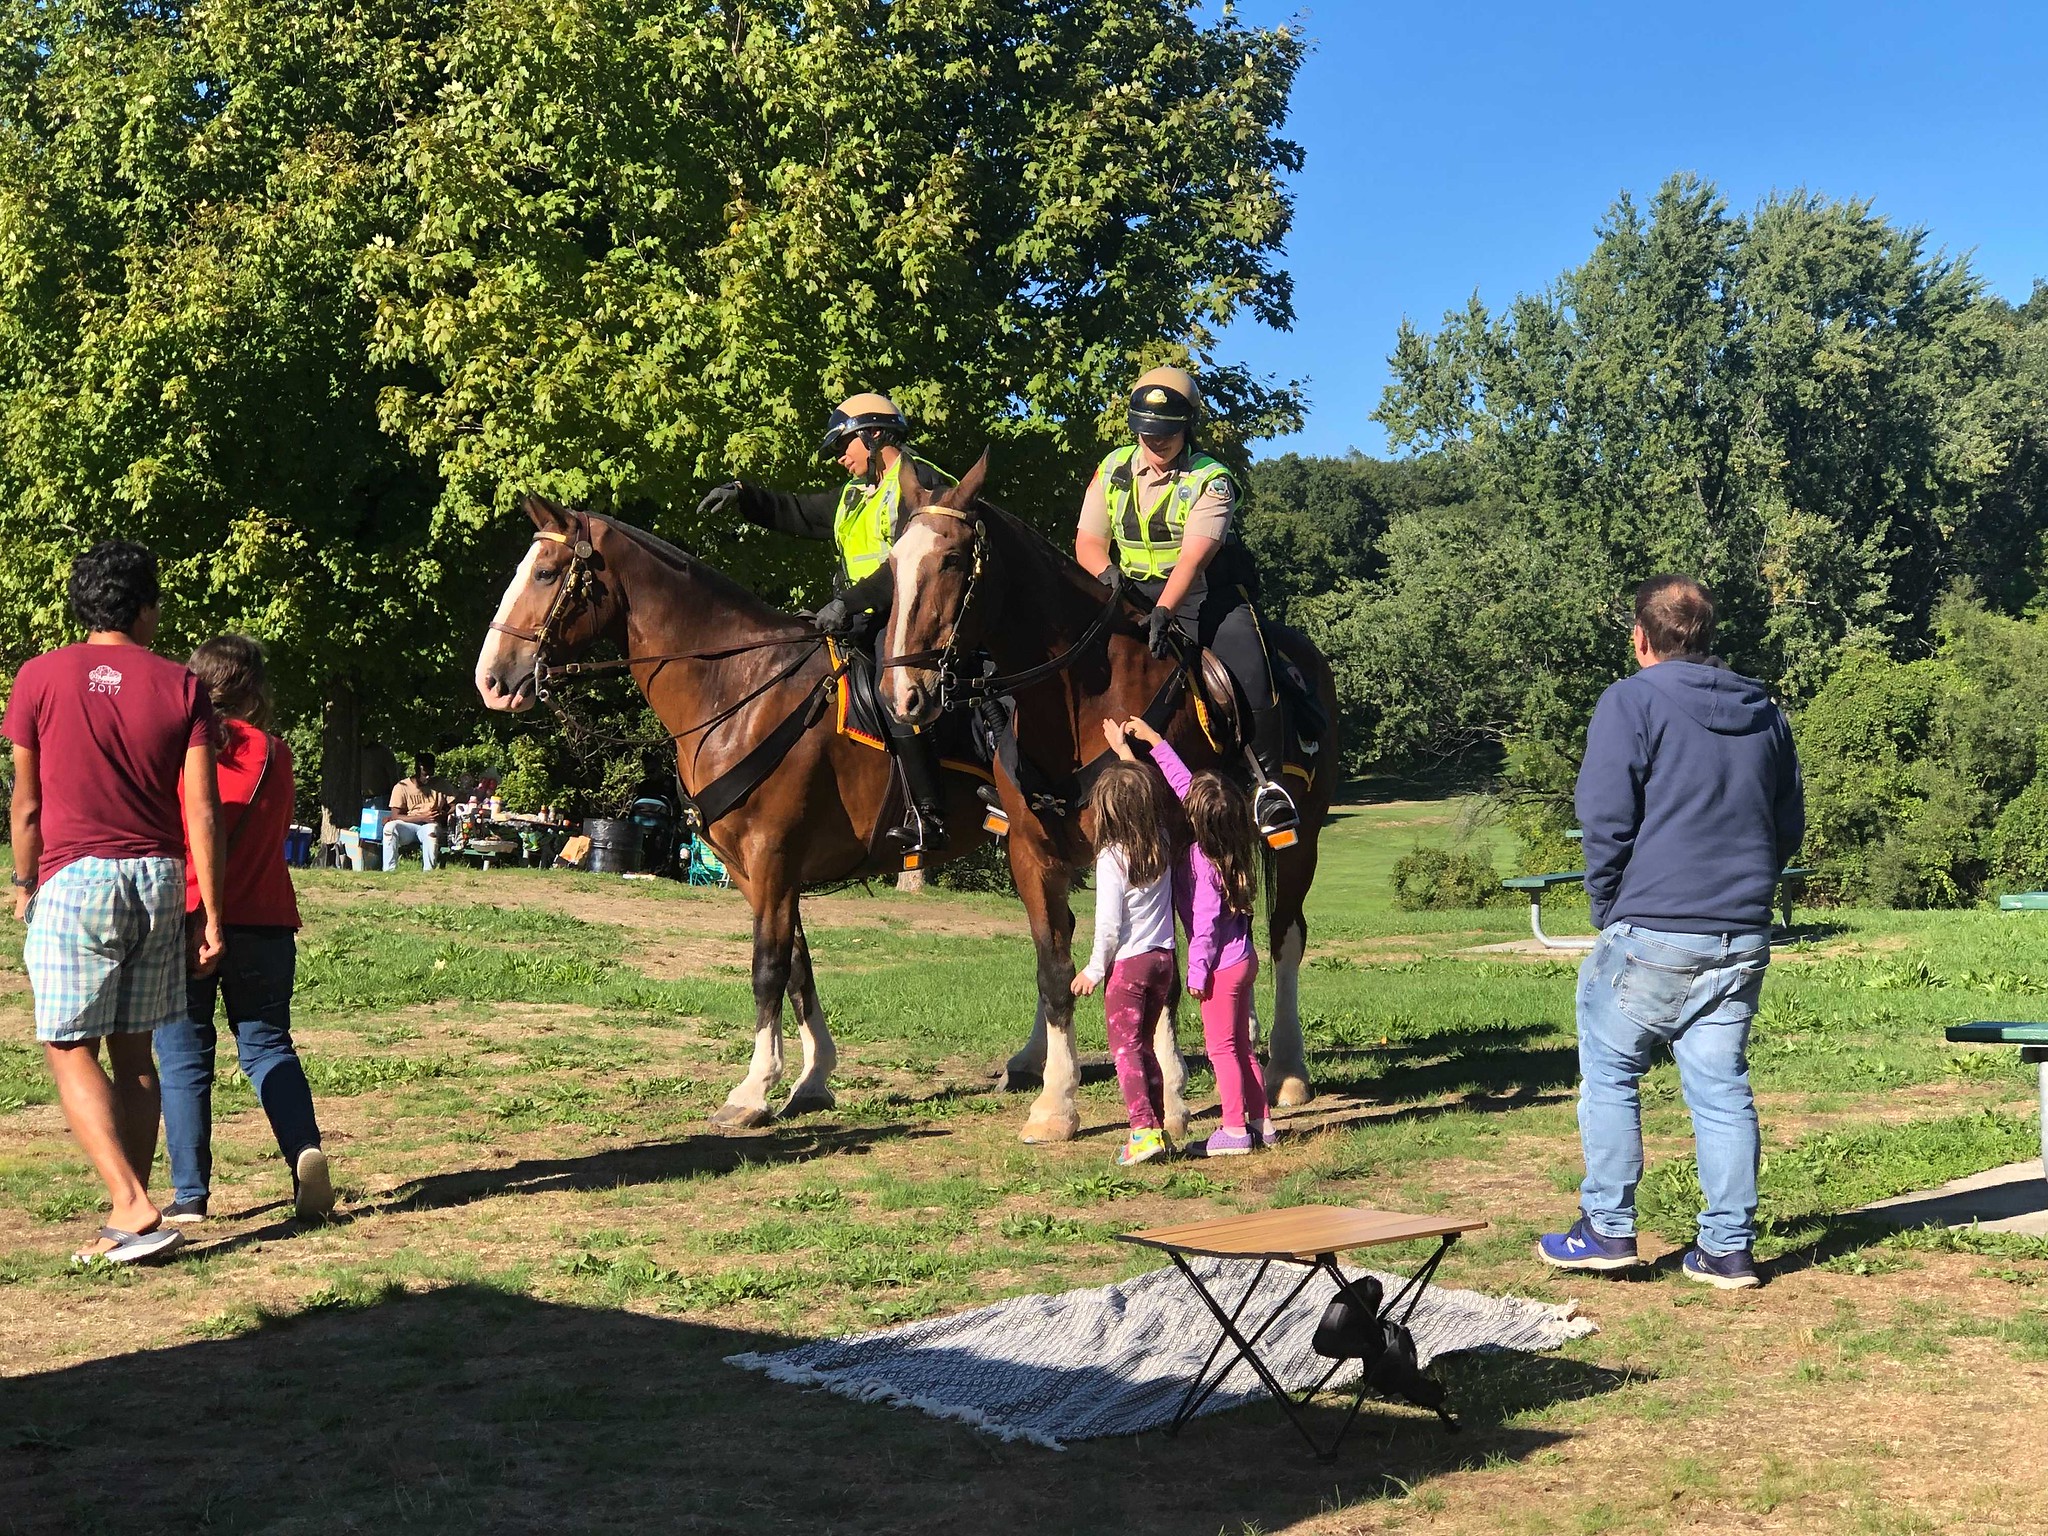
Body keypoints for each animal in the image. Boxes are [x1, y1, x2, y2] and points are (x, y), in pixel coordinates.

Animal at [473, 493, 999, 1130]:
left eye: (547, 573)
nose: (491, 680)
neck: (741, 690)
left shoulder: (772, 859)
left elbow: (767, 967)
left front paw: (754, 1090)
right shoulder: (756, 872)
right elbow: (796, 965)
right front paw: (813, 1079)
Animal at [888, 462, 1335, 1146]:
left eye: (953, 560)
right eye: (892, 563)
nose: (904, 695)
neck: (1077, 696)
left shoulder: (1164, 841)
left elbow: (1164, 968)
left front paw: (1171, 1098)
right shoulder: (1033, 855)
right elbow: (1056, 970)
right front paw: (1055, 1103)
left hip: (1299, 838)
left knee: (1286, 937)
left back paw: (1286, 1070)